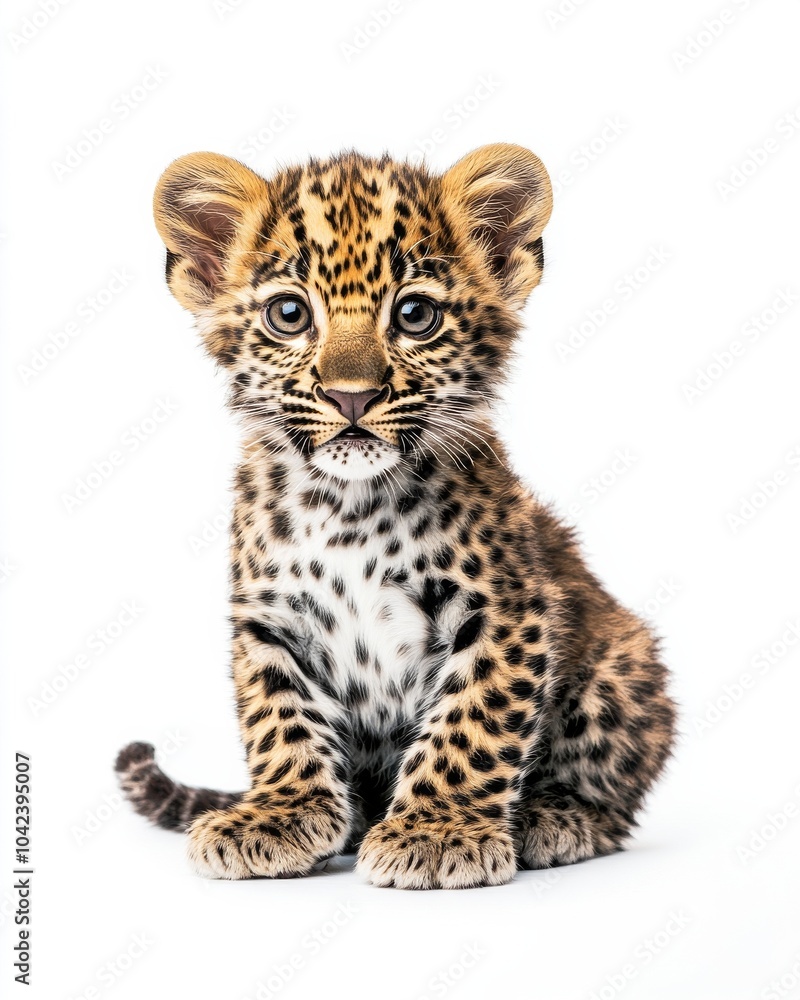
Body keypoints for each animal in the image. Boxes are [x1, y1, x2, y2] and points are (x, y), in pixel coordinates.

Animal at [115, 143, 676, 889]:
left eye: (414, 315)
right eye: (289, 314)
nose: (351, 396)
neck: (346, 507)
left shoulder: (506, 611)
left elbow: (472, 722)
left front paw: (436, 833)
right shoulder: (268, 620)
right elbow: (281, 719)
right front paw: (280, 815)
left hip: (624, 667)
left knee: (614, 795)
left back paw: (553, 818)